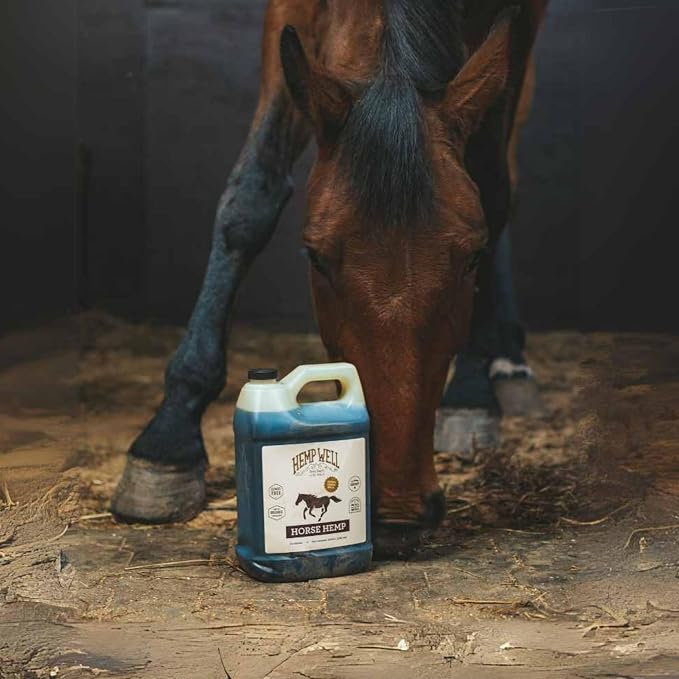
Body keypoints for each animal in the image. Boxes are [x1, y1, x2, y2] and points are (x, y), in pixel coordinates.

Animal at [111, 0, 548, 556]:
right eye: (315, 257)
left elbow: (492, 189)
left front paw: (471, 387)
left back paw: (500, 362)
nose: (398, 509)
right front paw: (168, 436)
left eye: (472, 257)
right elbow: (251, 196)